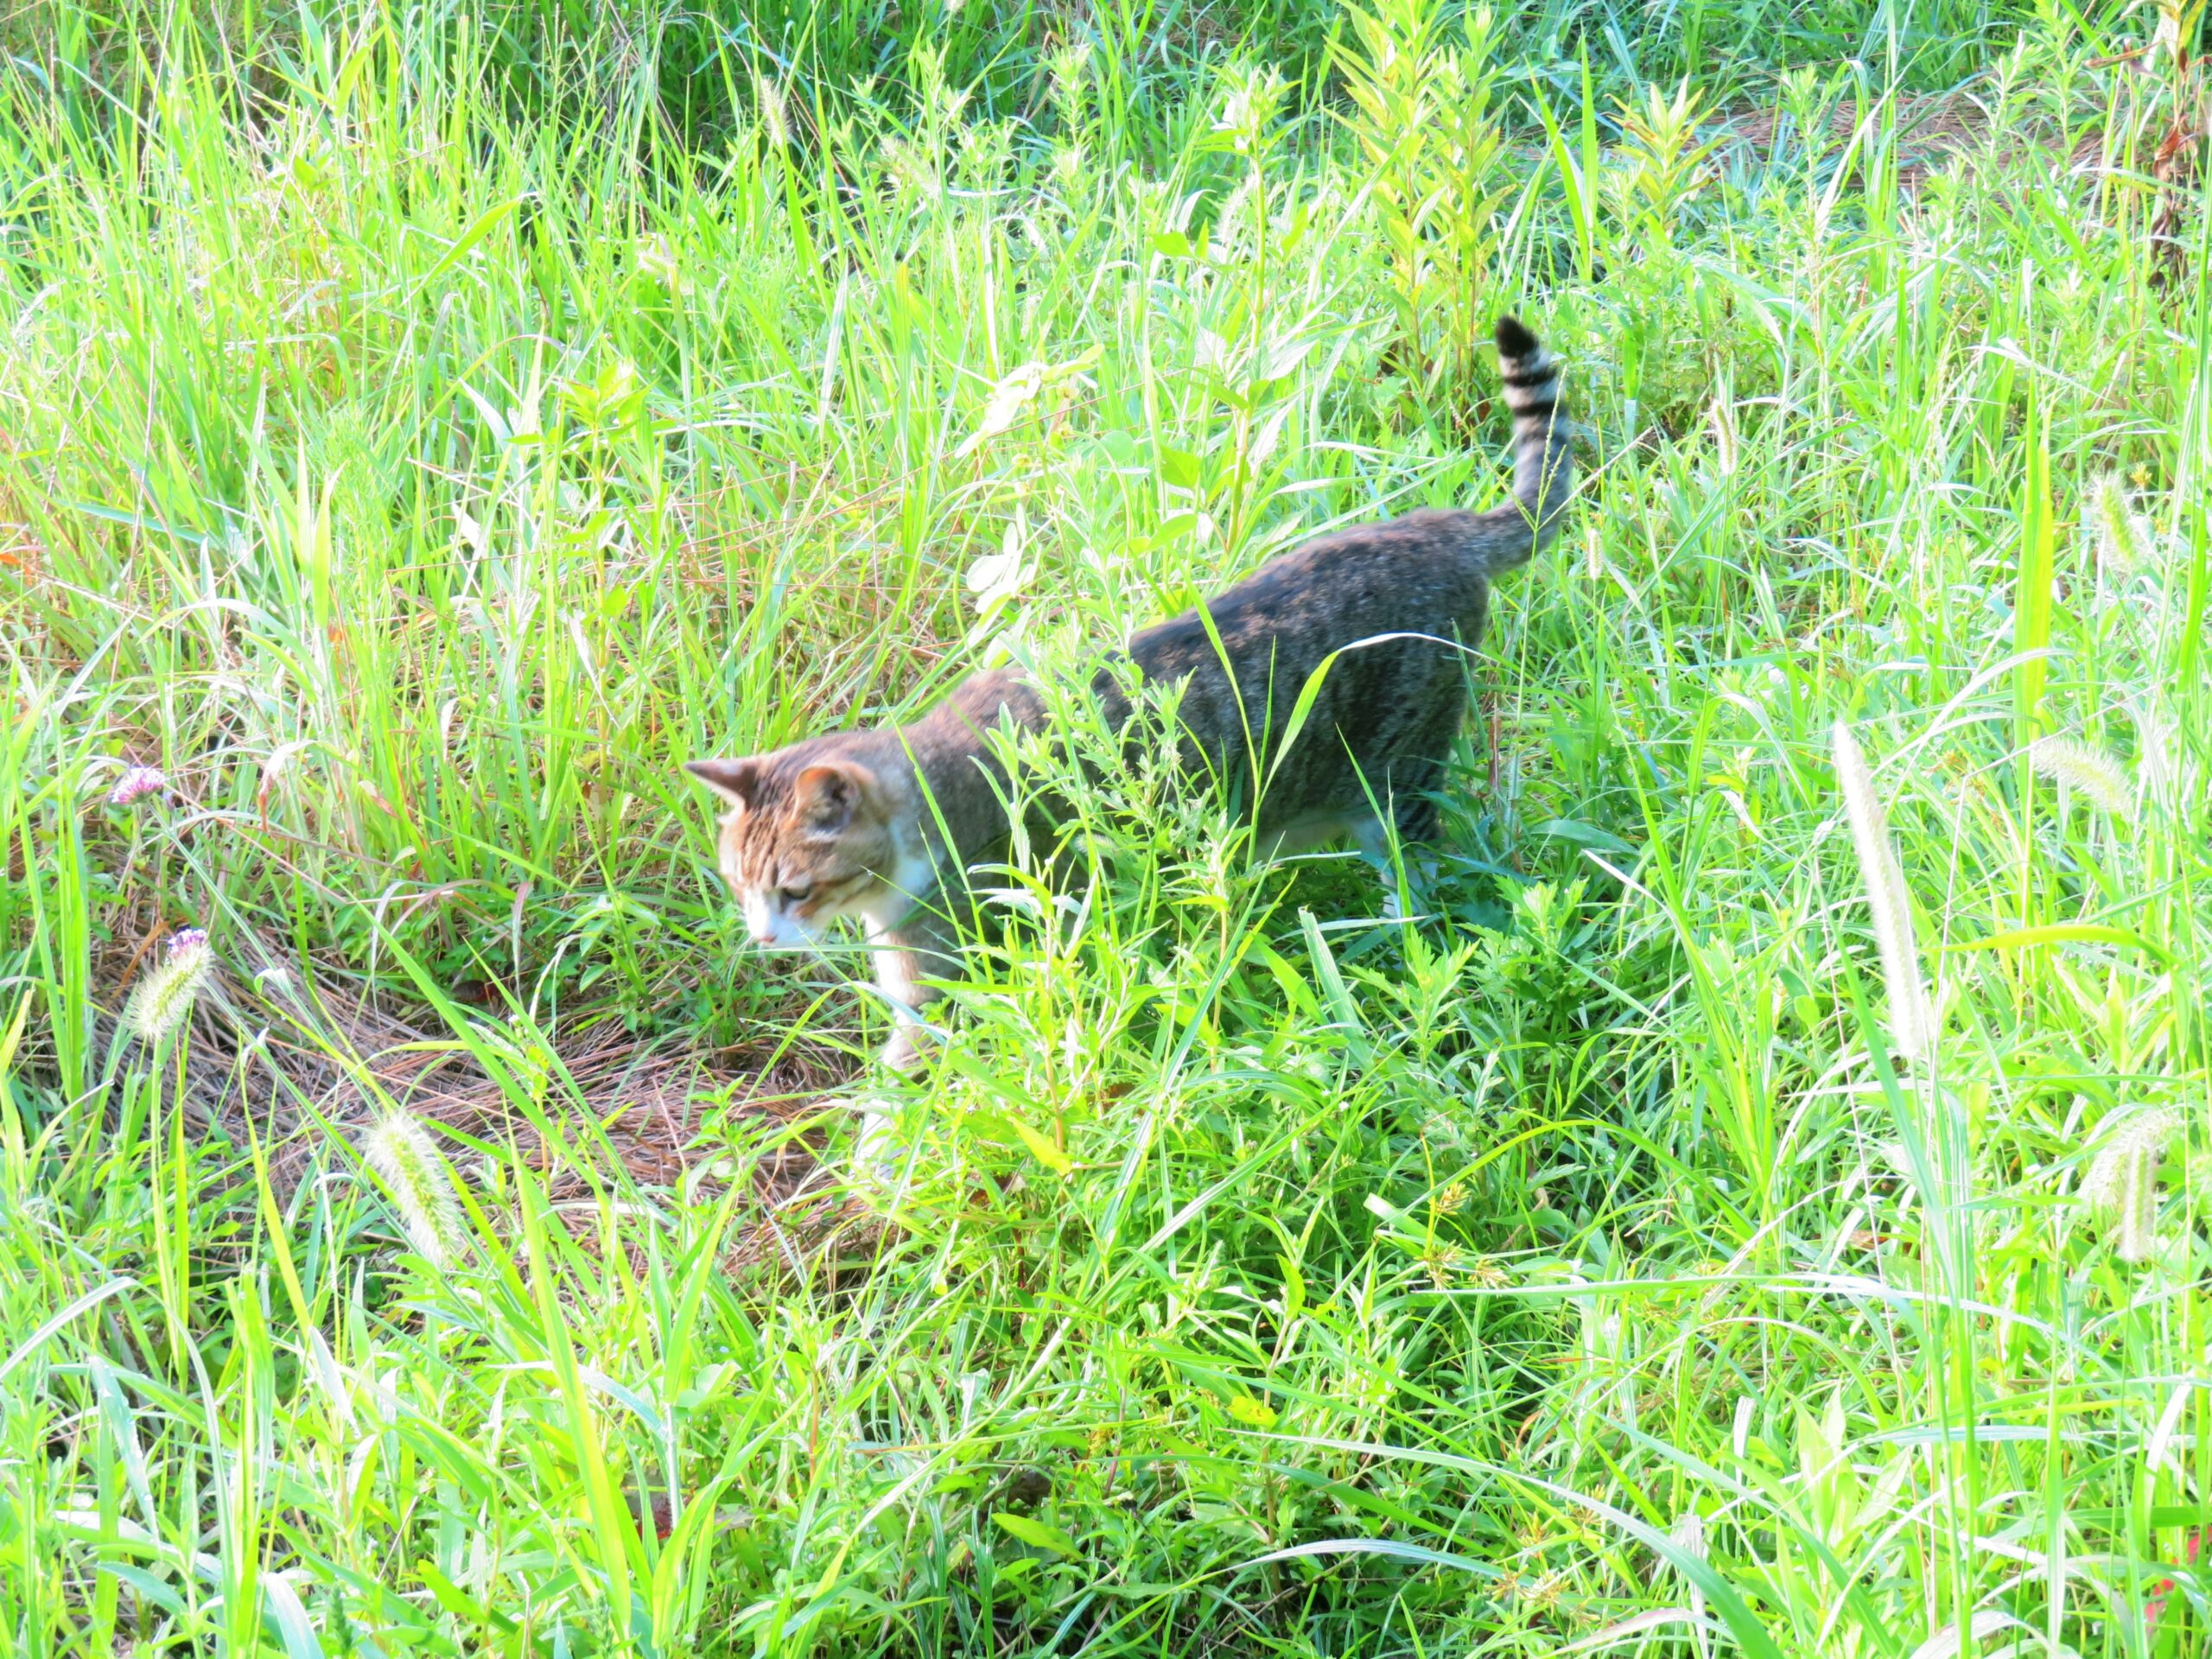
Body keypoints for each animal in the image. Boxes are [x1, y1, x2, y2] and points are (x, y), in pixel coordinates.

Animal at [681, 314, 1566, 1079]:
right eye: (739, 888)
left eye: (796, 890)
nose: (764, 942)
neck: (923, 799)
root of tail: (1438, 526)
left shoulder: (941, 980)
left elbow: (893, 1096)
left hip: (1397, 784)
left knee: (1420, 873)